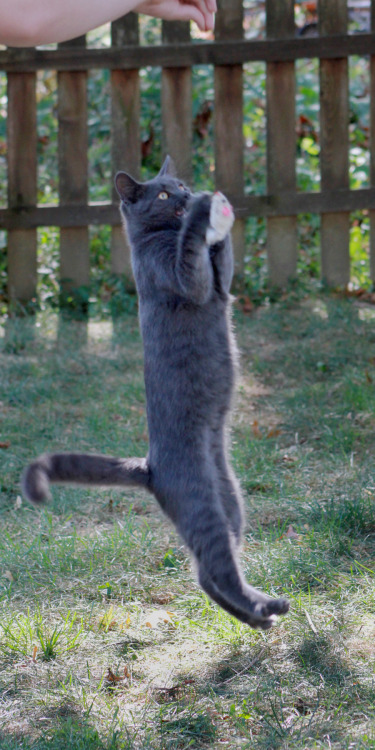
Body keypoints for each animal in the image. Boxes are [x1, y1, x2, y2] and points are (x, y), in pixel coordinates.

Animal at [22, 160, 290, 636]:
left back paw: (258, 619)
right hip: (201, 504)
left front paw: (216, 217)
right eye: (164, 195)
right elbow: (192, 261)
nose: (185, 194)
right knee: (215, 568)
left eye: (179, 184)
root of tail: (151, 467)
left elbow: (223, 267)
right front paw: (204, 212)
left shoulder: (221, 284)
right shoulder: (185, 277)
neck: (159, 236)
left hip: (232, 500)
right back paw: (269, 606)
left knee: (204, 571)